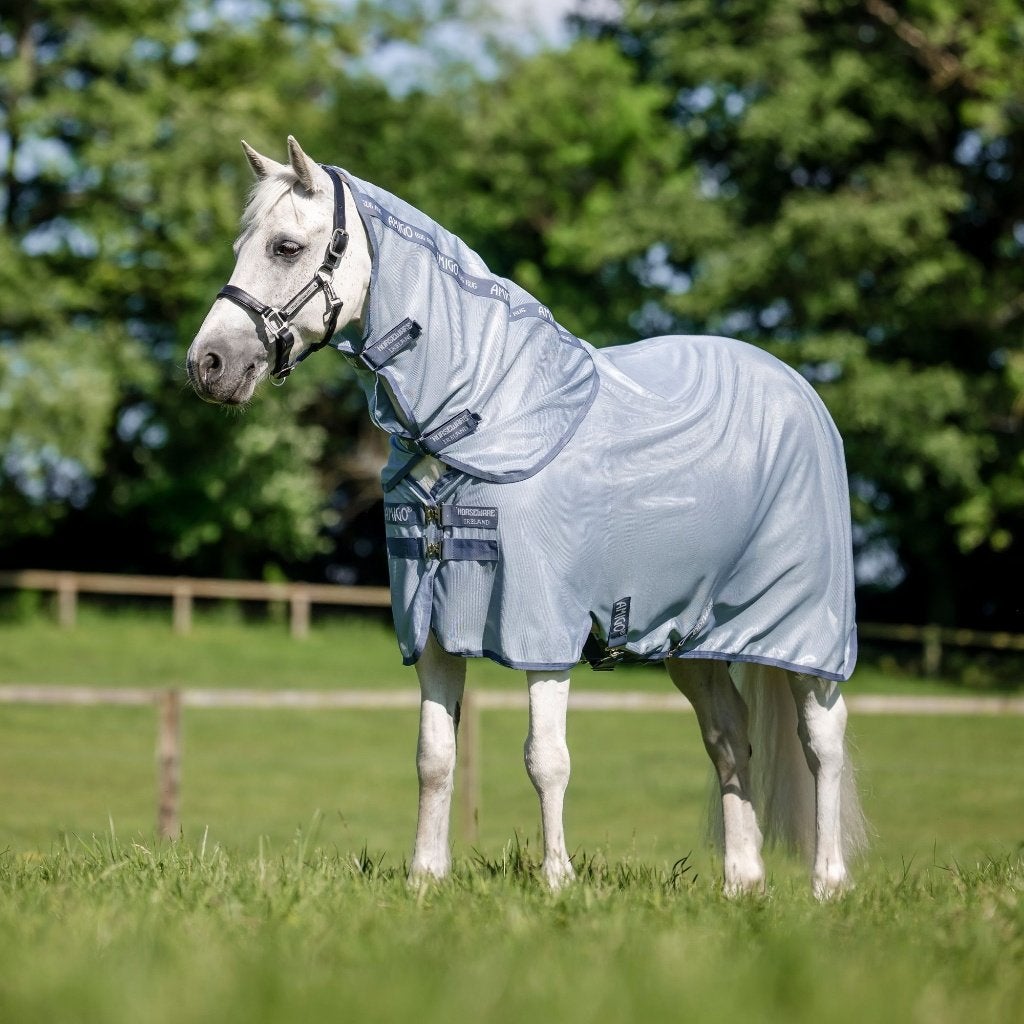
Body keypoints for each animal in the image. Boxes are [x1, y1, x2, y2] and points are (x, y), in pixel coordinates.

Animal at [187, 136, 866, 897]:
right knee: (728, 739)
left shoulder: (541, 628)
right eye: (243, 244)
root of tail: (800, 390)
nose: (207, 364)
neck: (483, 410)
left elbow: (547, 758)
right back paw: (742, 883)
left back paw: (827, 884)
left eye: (285, 246)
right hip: (687, 638)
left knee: (822, 744)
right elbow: (434, 755)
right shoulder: (430, 625)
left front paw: (557, 882)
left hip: (807, 633)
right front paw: (425, 878)